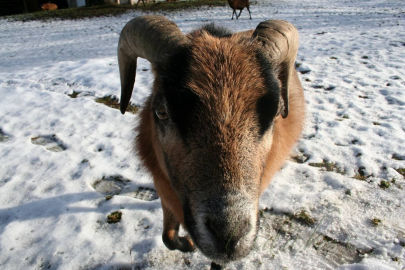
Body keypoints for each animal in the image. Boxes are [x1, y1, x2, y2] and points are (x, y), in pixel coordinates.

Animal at [118, 15, 304, 266]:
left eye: (276, 112)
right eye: (161, 112)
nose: (230, 234)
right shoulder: (164, 187)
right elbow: (168, 238)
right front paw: (186, 243)